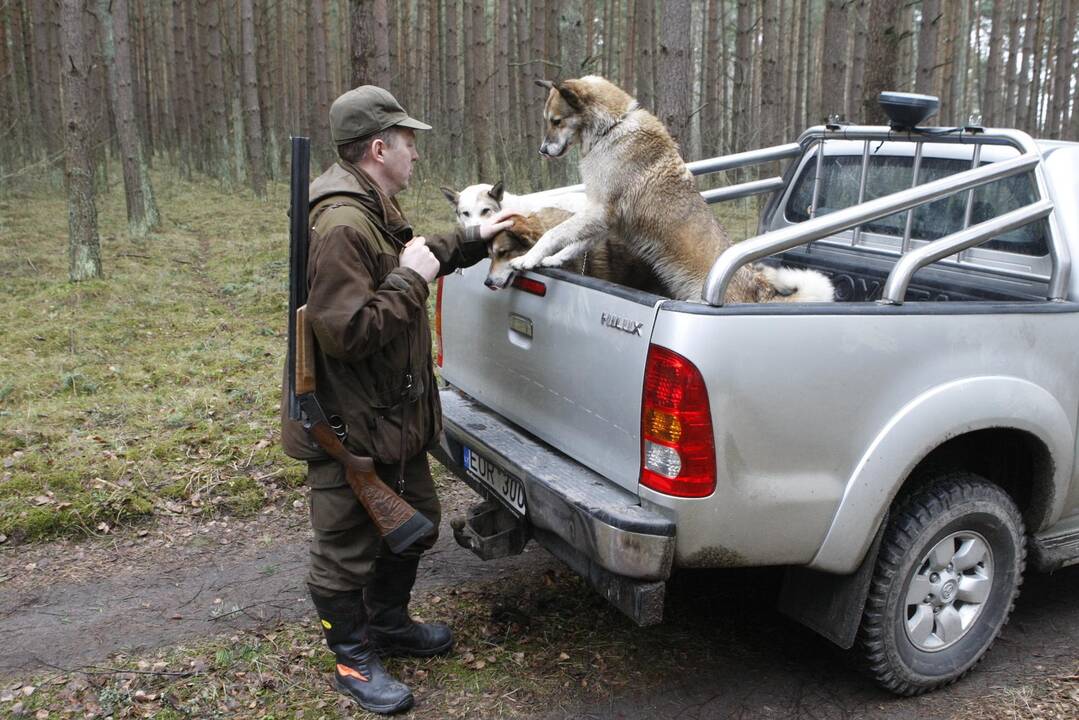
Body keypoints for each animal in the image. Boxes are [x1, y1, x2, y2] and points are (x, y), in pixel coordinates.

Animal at [507, 76, 832, 304]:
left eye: (556, 121)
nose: (542, 150)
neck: (612, 128)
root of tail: (761, 291)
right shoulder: (605, 221)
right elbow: (575, 243)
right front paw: (553, 259)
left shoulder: (599, 212)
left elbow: (554, 234)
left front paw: (527, 258)